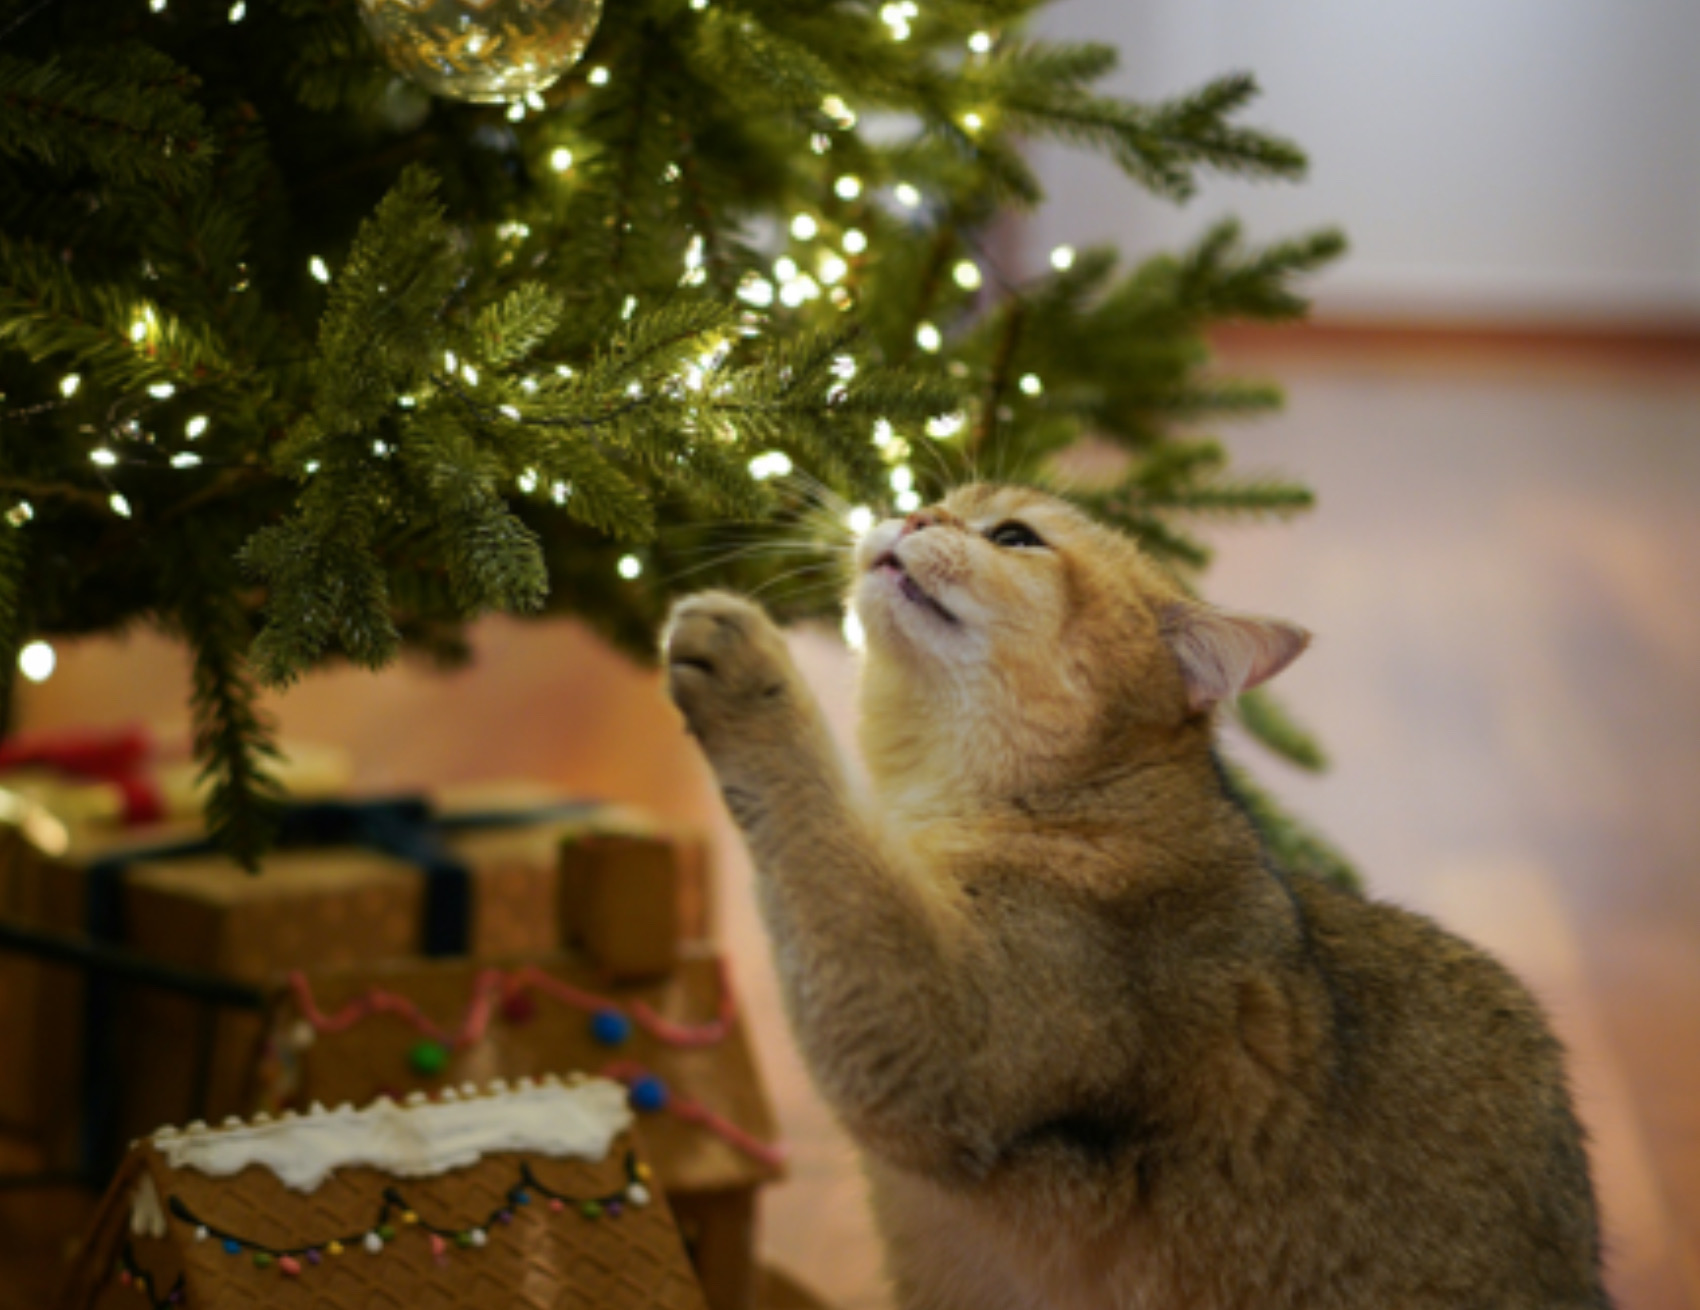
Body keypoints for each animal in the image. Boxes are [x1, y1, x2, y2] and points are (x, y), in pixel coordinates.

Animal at [659, 482, 1604, 1310]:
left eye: (1014, 537)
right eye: (935, 501)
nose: (912, 511)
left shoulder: (934, 1045)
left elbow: (822, 836)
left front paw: (749, 668)